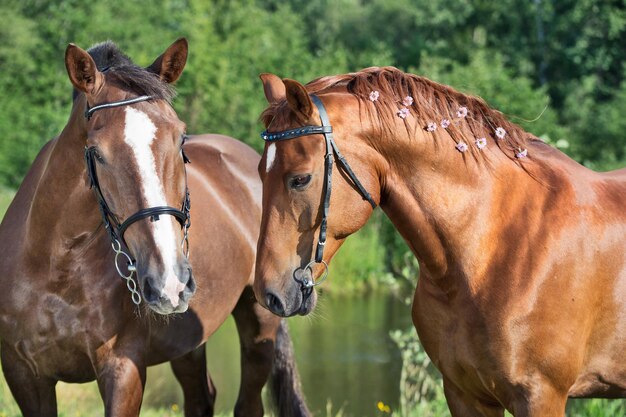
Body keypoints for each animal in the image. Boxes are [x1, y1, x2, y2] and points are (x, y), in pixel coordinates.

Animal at [0, 39, 310, 416]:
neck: (54, 267)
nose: (169, 281)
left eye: (180, 139)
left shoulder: (124, 368)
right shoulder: (23, 375)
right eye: (96, 153)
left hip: (258, 320)